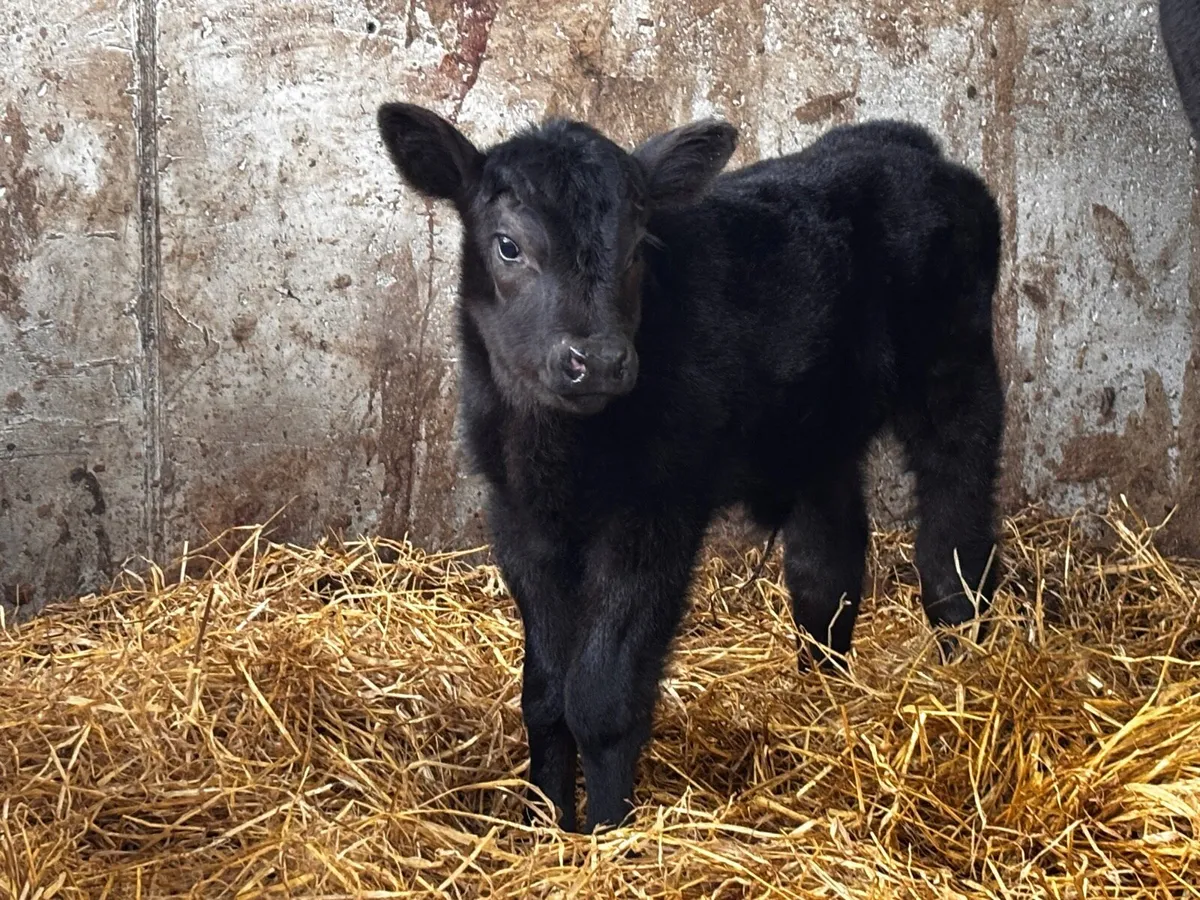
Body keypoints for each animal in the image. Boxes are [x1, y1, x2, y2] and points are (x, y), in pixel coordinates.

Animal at [375, 103, 1005, 833]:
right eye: (508, 246)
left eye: (637, 247)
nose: (599, 360)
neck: (558, 454)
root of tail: (905, 143)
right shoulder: (518, 518)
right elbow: (545, 695)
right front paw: (544, 822)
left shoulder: (654, 514)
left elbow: (601, 698)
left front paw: (605, 832)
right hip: (818, 430)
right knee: (828, 569)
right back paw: (821, 702)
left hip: (956, 370)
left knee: (955, 545)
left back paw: (962, 677)